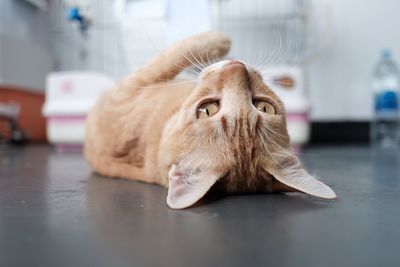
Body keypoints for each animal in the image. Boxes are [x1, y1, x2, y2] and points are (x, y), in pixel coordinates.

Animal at [85, 31, 338, 209]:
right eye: (207, 109)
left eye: (265, 107)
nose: (237, 66)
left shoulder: (130, 87)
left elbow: (171, 56)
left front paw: (218, 39)